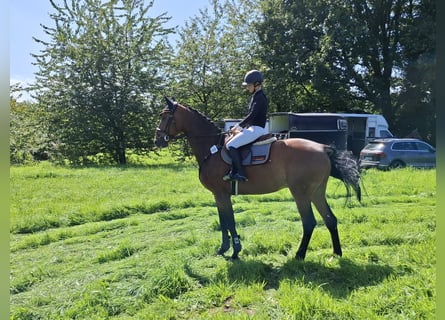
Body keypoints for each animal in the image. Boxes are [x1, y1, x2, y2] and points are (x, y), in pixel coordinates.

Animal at [153, 97, 360, 260]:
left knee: (309, 222)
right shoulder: (218, 195)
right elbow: (222, 221)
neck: (212, 147)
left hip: (301, 194)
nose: (157, 140)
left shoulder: (222, 194)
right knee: (330, 219)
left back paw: (299, 255)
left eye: (165, 117)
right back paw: (336, 253)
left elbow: (229, 221)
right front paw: (223, 249)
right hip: (316, 192)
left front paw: (235, 251)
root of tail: (322, 148)